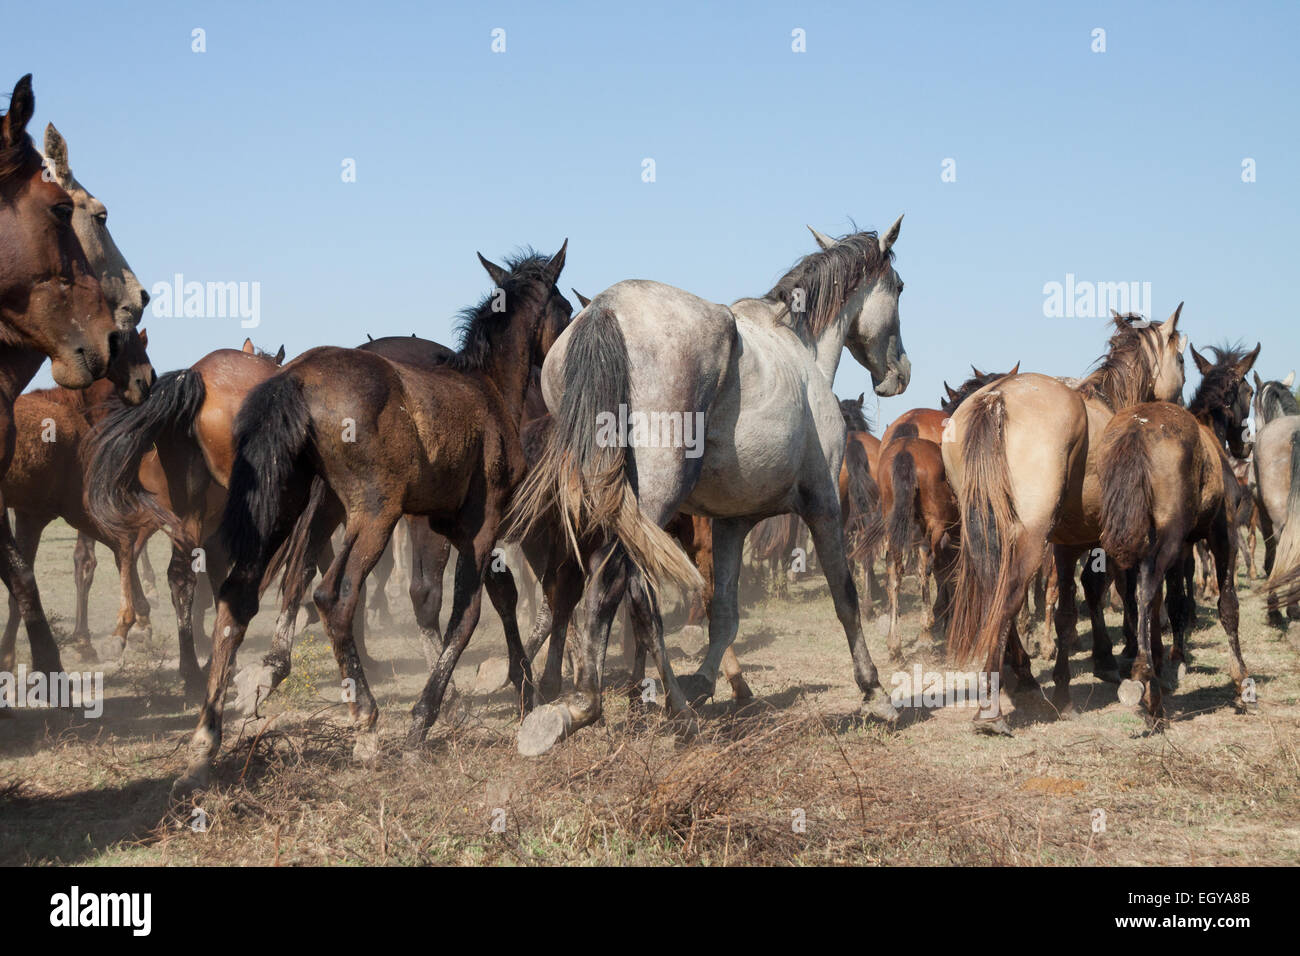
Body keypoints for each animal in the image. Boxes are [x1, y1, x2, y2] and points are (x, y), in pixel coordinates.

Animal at [174, 243, 574, 790]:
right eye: (567, 309)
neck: (487, 389)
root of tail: (296, 378)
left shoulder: (453, 529)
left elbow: (494, 597)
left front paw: (525, 691)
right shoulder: (480, 527)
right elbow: (467, 613)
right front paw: (425, 723)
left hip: (286, 507)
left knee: (240, 596)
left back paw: (204, 744)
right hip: (373, 516)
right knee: (334, 596)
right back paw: (365, 725)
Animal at [1097, 340, 1258, 723]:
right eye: (1250, 391)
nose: (1246, 445)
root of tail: (1136, 428)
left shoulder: (1185, 546)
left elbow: (1175, 601)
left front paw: (1174, 661)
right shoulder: (1222, 534)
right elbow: (1227, 603)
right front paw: (1241, 680)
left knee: (1133, 592)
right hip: (1165, 541)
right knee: (1143, 588)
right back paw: (1146, 683)